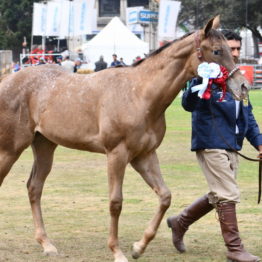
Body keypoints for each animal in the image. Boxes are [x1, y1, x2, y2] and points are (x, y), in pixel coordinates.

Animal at [0, 15, 249, 262]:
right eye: (217, 51)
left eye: (231, 49)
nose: (243, 86)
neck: (140, 94)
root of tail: (7, 80)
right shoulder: (117, 154)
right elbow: (115, 202)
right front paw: (117, 251)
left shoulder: (144, 156)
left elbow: (165, 196)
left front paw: (139, 246)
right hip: (10, 150)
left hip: (44, 145)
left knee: (34, 188)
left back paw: (47, 244)